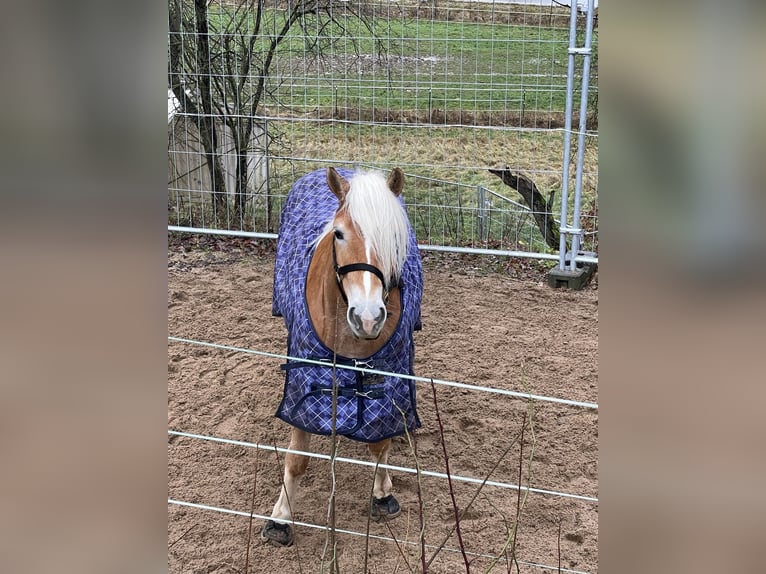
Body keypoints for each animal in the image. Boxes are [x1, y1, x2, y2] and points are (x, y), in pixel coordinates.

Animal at [264, 168, 426, 548]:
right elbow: (297, 459)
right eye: (338, 233)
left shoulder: (388, 378)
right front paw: (281, 518)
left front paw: (383, 494)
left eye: (396, 237)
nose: (368, 317)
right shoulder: (304, 382)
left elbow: (380, 444)